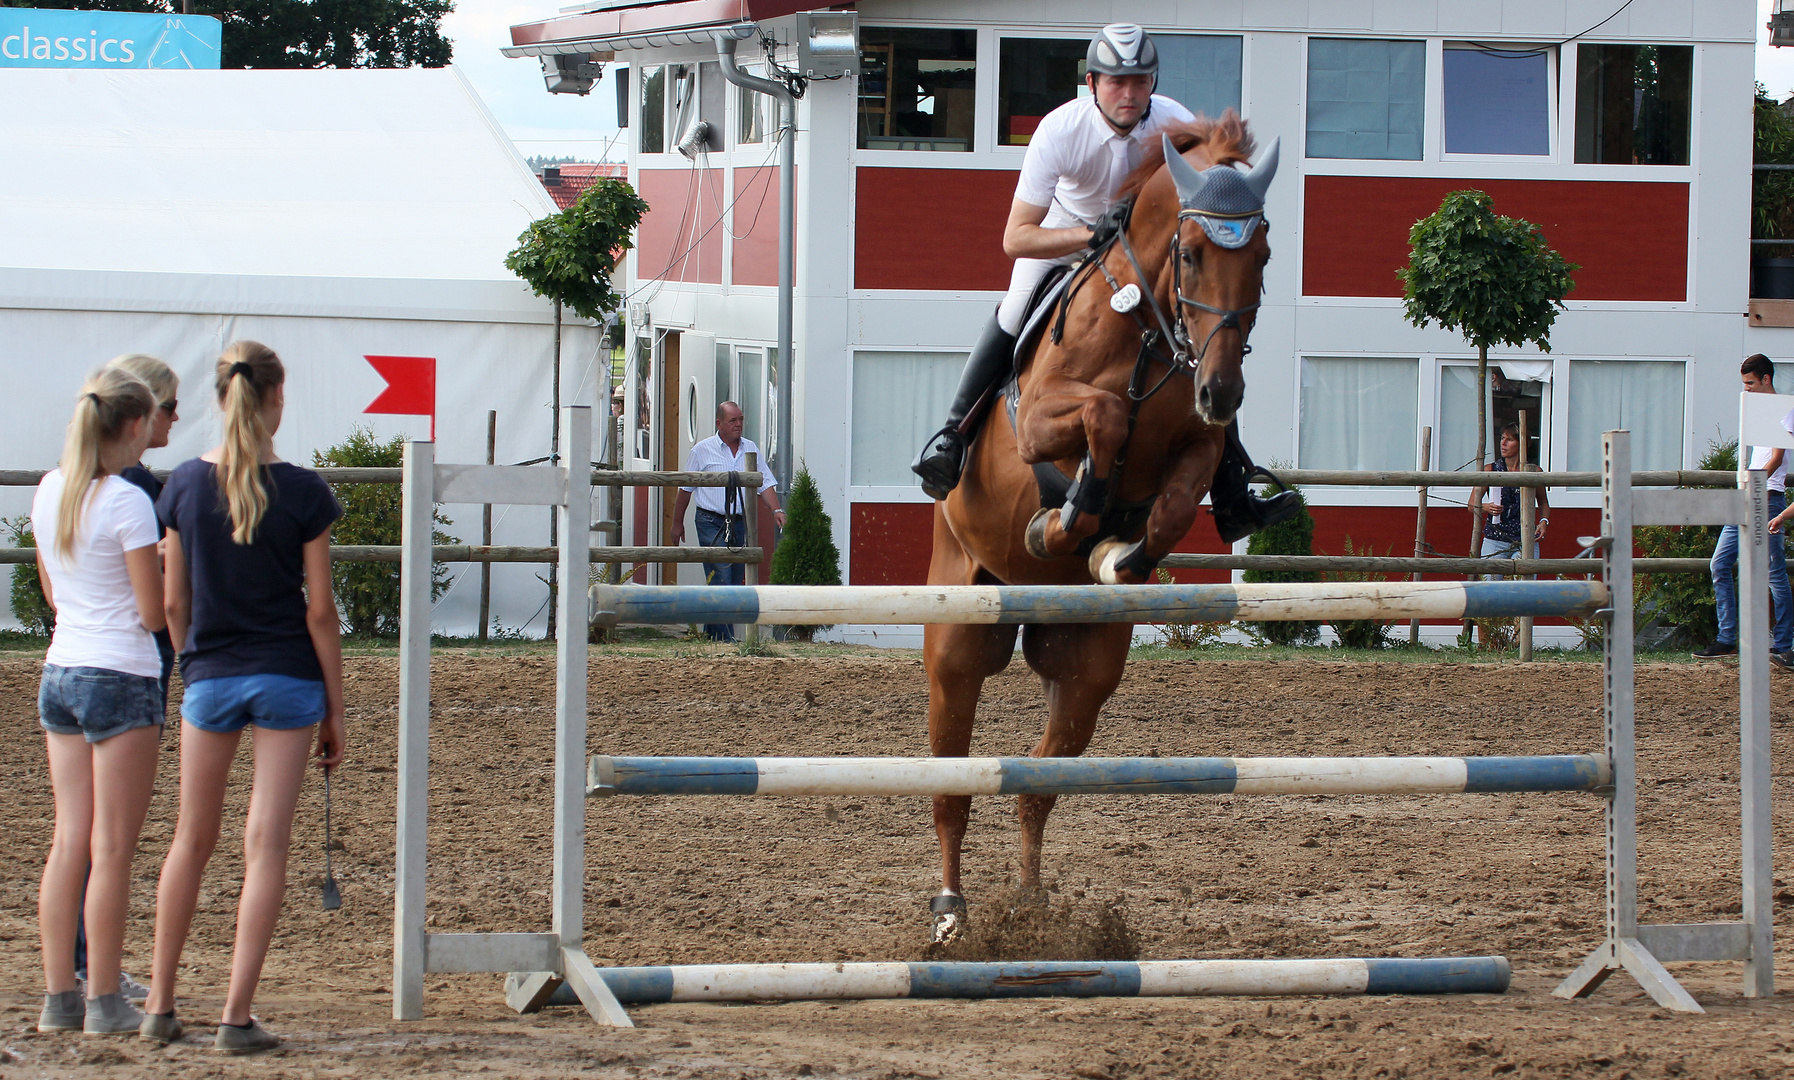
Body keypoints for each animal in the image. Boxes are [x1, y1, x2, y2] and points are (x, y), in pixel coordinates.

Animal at [925, 120, 1277, 940]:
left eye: (1264, 255)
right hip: (959, 635)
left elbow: (1171, 507)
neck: (1150, 332)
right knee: (953, 787)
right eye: (1192, 252)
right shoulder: (1042, 418)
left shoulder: (1199, 445)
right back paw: (954, 913)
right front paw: (1062, 518)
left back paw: (1031, 914)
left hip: (1084, 670)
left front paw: (1117, 552)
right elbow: (1105, 416)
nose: (1223, 390)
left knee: (1036, 783)